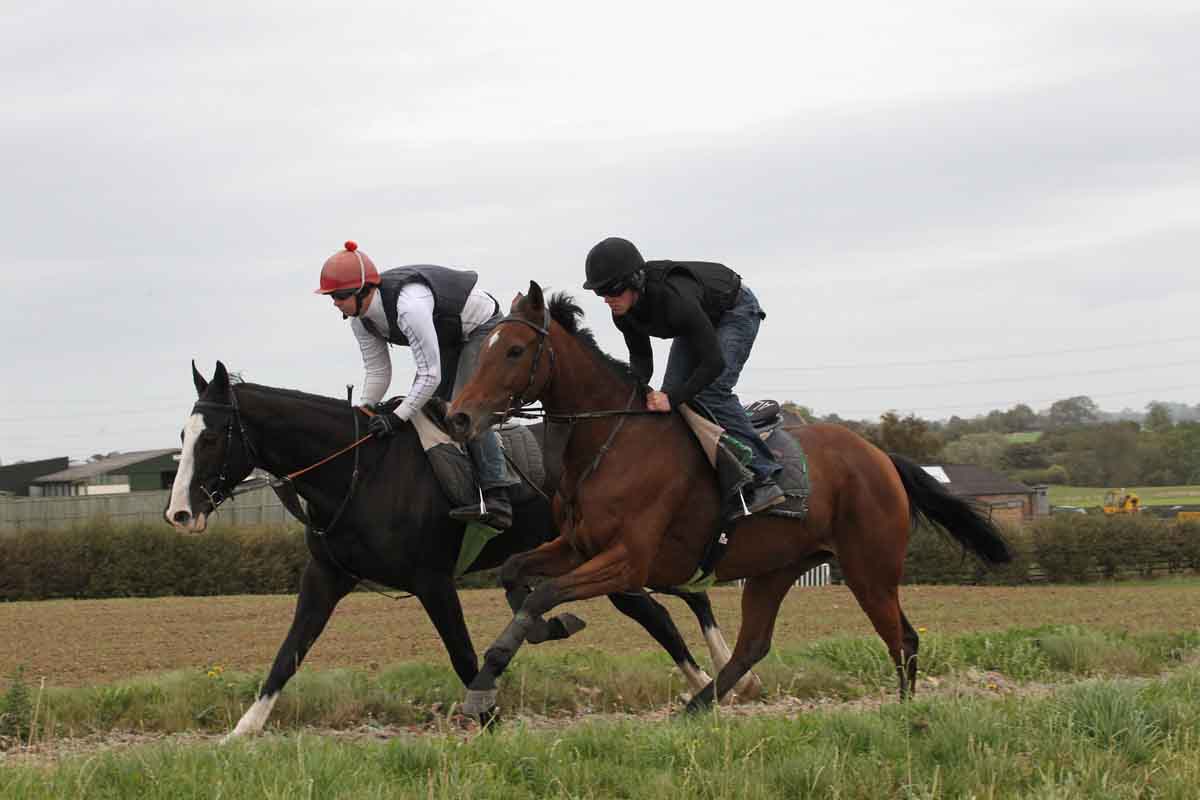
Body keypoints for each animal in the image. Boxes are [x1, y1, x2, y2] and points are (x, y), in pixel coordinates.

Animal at [165, 361, 759, 738]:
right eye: (182, 436)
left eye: (212, 437)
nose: (179, 513)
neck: (359, 469)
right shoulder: (327, 576)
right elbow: (289, 653)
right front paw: (243, 731)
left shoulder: (432, 580)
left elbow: (462, 654)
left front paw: (489, 720)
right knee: (660, 611)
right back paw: (712, 680)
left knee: (680, 600)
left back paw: (723, 676)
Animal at [445, 284, 1013, 716]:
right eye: (483, 349)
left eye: (514, 350)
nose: (459, 417)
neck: (612, 439)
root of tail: (880, 456)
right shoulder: (578, 546)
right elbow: (515, 574)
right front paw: (542, 635)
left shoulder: (626, 561)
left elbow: (542, 593)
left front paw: (487, 683)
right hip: (776, 568)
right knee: (753, 645)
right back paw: (697, 708)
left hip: (869, 568)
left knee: (902, 638)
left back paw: (905, 715)